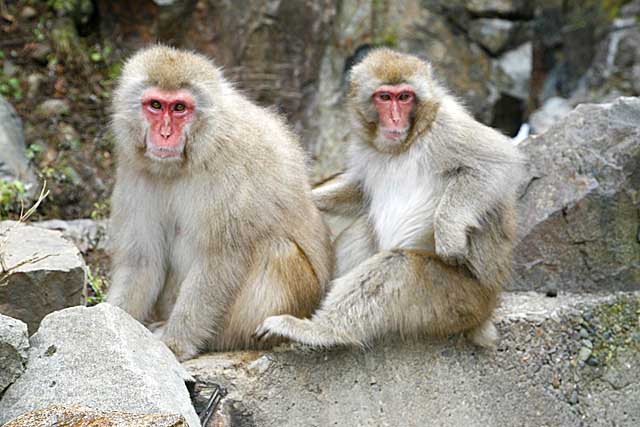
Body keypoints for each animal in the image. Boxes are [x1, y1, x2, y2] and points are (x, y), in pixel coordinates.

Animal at [107, 45, 332, 362]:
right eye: (155, 105)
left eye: (179, 108)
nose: (165, 134)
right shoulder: (136, 171)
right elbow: (142, 259)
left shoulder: (233, 170)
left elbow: (220, 258)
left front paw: (175, 344)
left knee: (278, 250)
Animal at [255, 48, 524, 350]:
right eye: (384, 97)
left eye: (405, 97)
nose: (395, 119)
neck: (403, 146)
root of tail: (487, 309)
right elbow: (359, 192)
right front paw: (310, 198)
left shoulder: (446, 127)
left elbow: (496, 163)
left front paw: (449, 232)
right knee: (362, 232)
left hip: (459, 300)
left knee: (399, 267)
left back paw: (320, 330)